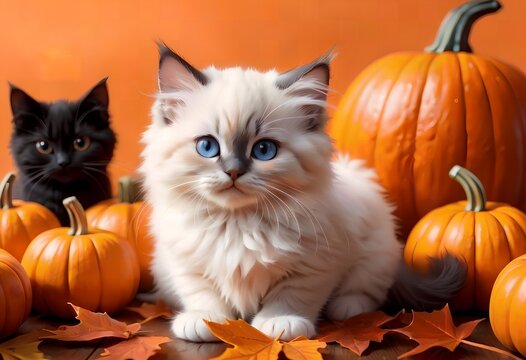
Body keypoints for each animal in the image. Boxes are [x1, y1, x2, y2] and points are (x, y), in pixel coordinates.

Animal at [141, 46, 466, 342]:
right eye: (208, 147)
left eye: (264, 150)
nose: (233, 171)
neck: (238, 223)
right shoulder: (184, 262)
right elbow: (202, 293)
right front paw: (206, 321)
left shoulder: (315, 264)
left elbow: (291, 295)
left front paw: (280, 323)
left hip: (377, 252)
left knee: (366, 291)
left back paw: (347, 308)